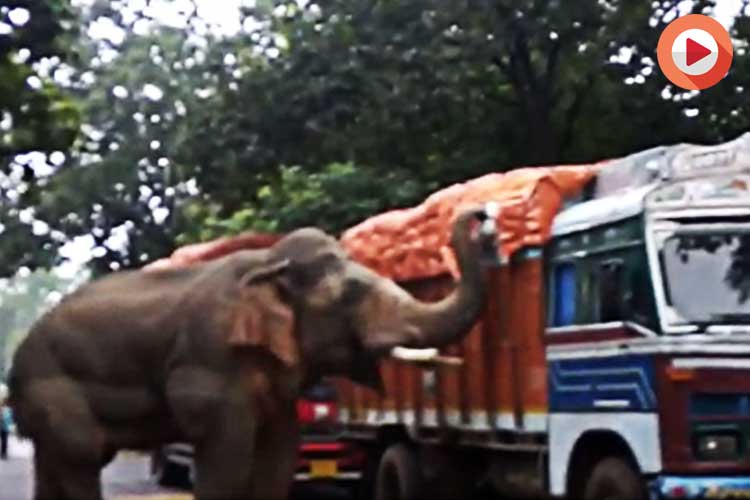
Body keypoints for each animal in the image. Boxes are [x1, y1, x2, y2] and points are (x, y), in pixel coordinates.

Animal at [7, 207, 500, 500]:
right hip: (54, 390)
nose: (481, 216)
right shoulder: (210, 362)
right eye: (351, 294)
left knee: (55, 462)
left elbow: (277, 453)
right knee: (82, 457)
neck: (269, 266)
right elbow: (226, 456)